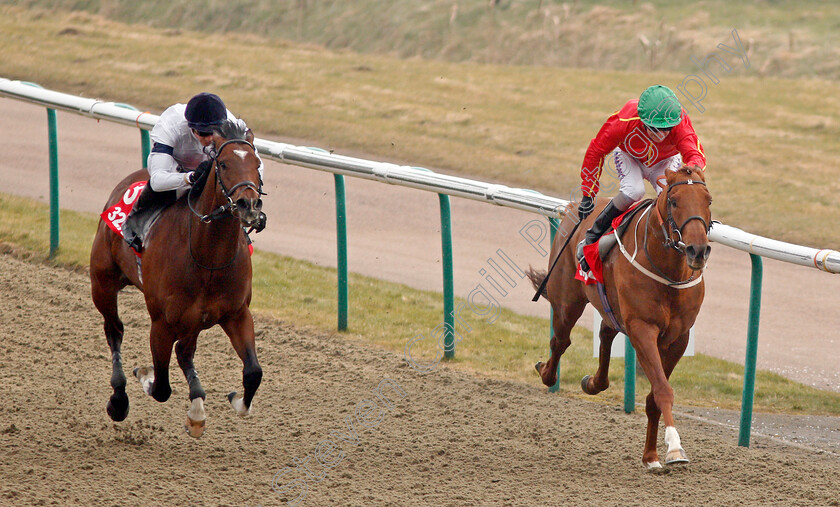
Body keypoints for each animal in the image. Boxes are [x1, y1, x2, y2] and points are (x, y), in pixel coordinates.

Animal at [91, 121, 266, 438]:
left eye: (257, 163)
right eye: (223, 164)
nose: (249, 205)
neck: (208, 257)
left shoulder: (237, 314)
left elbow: (253, 372)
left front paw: (234, 401)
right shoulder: (162, 324)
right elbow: (161, 386)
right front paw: (144, 374)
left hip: (193, 320)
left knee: (185, 351)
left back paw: (196, 406)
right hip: (102, 283)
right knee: (115, 330)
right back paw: (119, 399)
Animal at [528, 166, 712, 468]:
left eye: (708, 201)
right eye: (674, 202)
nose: (697, 250)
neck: (668, 271)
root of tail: (571, 210)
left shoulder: (679, 338)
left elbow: (654, 396)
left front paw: (651, 456)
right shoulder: (642, 328)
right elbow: (662, 390)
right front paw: (674, 448)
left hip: (611, 307)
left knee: (605, 331)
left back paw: (593, 382)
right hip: (567, 301)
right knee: (560, 341)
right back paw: (546, 371)